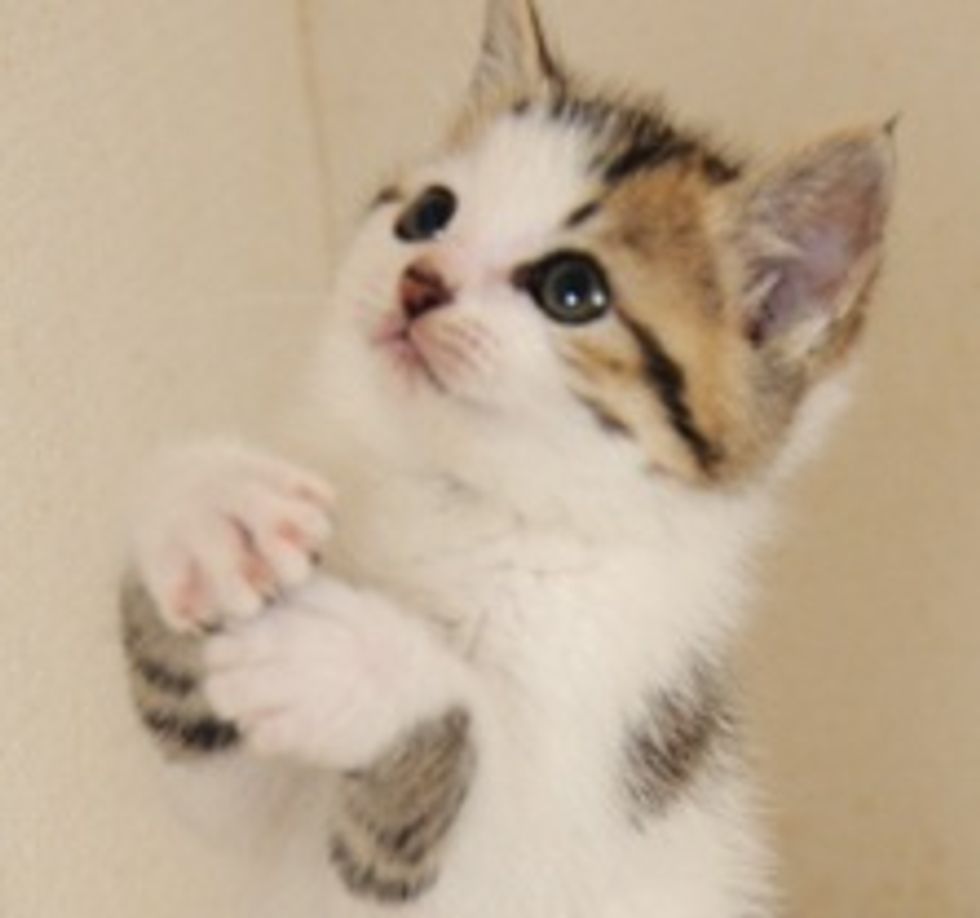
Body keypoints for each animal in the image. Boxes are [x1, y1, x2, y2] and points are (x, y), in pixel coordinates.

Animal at [118, 3, 892, 916]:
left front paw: (357, 667)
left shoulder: (594, 776)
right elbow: (208, 776)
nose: (420, 281)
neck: (455, 495)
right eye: (428, 214)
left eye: (572, 290)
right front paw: (209, 508)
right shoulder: (246, 811)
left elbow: (486, 763)